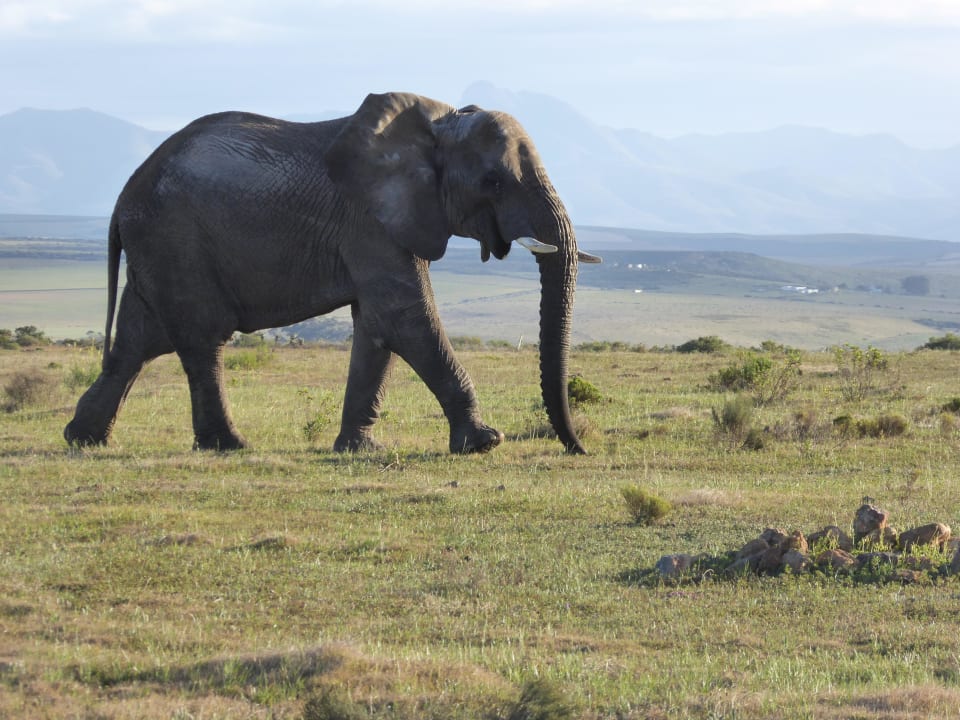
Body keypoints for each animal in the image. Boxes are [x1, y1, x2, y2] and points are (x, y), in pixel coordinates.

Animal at [64, 91, 600, 455]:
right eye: (493, 181)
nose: (577, 449)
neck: (437, 126)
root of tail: (123, 198)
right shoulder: (370, 221)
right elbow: (405, 318)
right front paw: (485, 443)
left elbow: (377, 327)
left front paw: (359, 450)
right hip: (175, 240)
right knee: (200, 339)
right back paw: (229, 445)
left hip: (158, 248)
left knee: (136, 341)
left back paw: (83, 440)